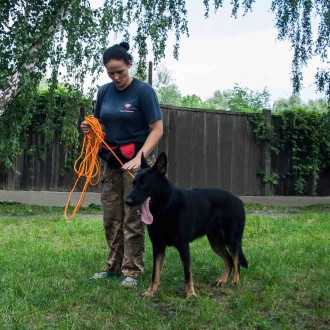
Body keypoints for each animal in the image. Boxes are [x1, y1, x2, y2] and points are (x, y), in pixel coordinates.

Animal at [124, 153, 248, 298]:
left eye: (144, 184)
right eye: (133, 184)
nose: (127, 201)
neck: (165, 208)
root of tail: (238, 200)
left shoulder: (183, 246)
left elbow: (187, 273)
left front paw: (191, 294)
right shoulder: (158, 247)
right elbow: (155, 273)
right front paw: (151, 292)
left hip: (232, 240)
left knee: (236, 260)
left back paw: (235, 281)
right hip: (216, 243)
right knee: (229, 261)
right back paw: (222, 281)